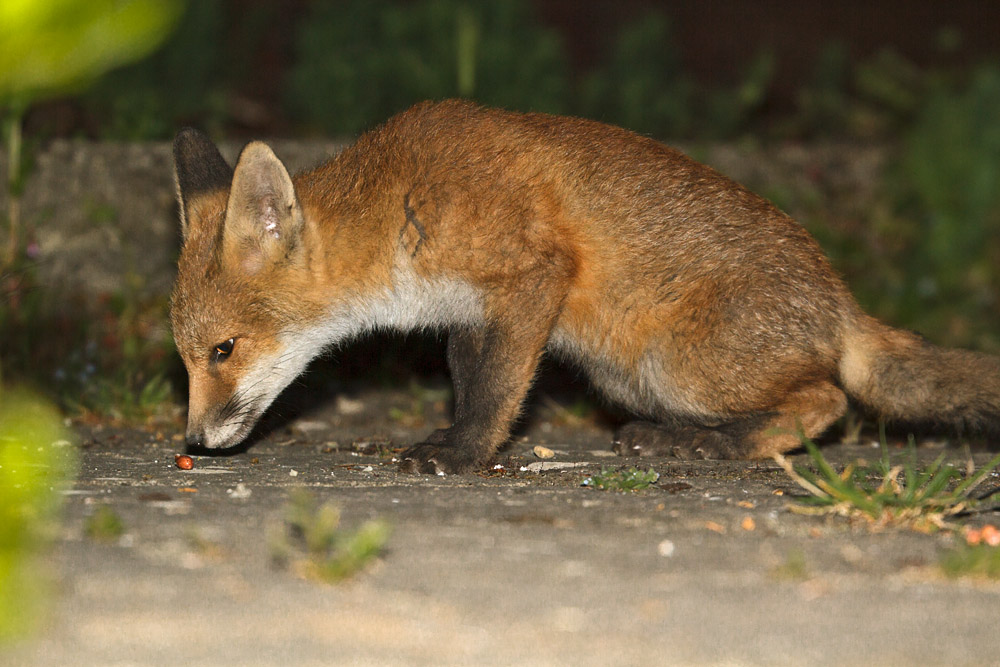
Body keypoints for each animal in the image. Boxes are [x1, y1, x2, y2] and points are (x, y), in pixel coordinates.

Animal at [170, 98, 1000, 474]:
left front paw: (465, 453)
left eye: (223, 350)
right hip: (629, 378)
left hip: (681, 364)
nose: (195, 441)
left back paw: (723, 443)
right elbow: (472, 381)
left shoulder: (533, 275)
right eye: (185, 358)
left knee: (829, 398)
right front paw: (454, 434)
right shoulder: (470, 312)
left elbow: (498, 393)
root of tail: (841, 300)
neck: (398, 199)